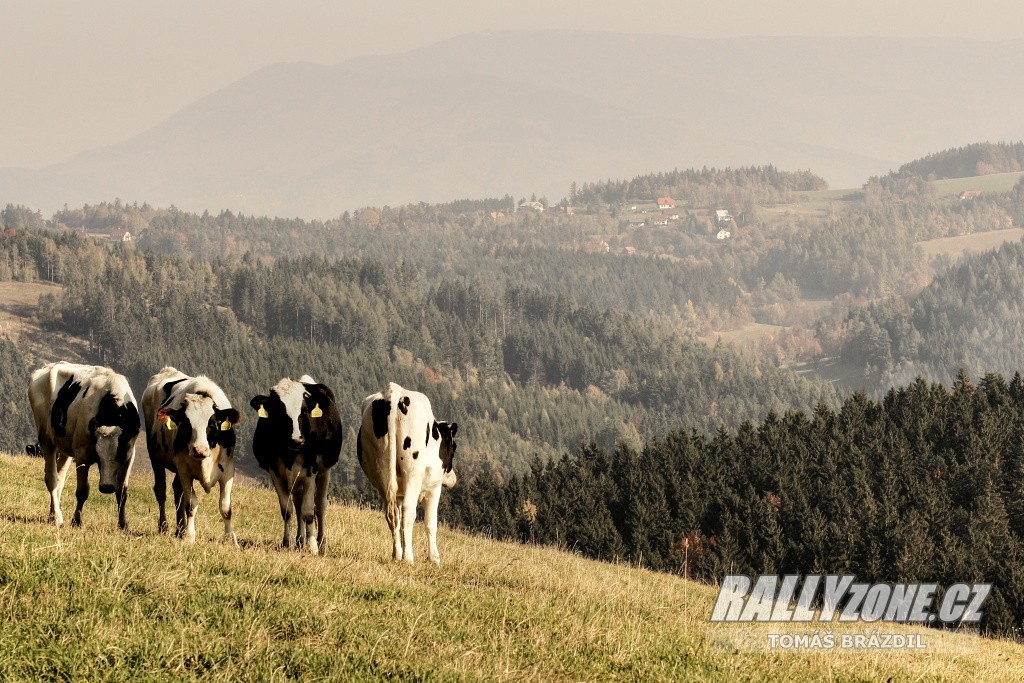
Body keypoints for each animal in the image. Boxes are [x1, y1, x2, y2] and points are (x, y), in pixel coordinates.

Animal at [27, 362, 142, 528]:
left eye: (119, 453)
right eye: (98, 456)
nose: (106, 487)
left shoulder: (129, 455)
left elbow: (122, 492)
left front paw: (123, 524)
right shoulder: (82, 455)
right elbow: (82, 491)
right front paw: (76, 521)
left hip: (65, 448)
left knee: (60, 478)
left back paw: (52, 515)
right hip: (46, 439)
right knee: (51, 479)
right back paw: (58, 518)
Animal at [142, 368, 241, 544]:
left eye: (212, 423)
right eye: (186, 424)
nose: (199, 450)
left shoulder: (228, 470)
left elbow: (225, 507)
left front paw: (230, 538)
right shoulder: (185, 471)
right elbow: (190, 504)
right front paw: (189, 536)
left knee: (177, 490)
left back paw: (179, 529)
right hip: (155, 457)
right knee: (161, 490)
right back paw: (164, 527)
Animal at [248, 376, 342, 552]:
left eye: (304, 411)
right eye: (279, 410)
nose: (297, 440)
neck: (289, 454)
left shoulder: (311, 471)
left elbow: (308, 512)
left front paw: (312, 546)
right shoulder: (275, 473)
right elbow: (287, 510)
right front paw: (287, 543)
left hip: (325, 470)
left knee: (320, 505)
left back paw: (321, 542)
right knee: (298, 506)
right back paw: (299, 540)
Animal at [358, 382, 458, 565]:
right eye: (453, 448)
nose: (453, 479)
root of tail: (394, 391)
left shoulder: (398, 493)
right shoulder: (434, 488)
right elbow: (430, 523)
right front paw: (434, 558)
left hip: (381, 472)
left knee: (391, 515)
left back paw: (397, 555)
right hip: (412, 471)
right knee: (408, 511)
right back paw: (408, 558)